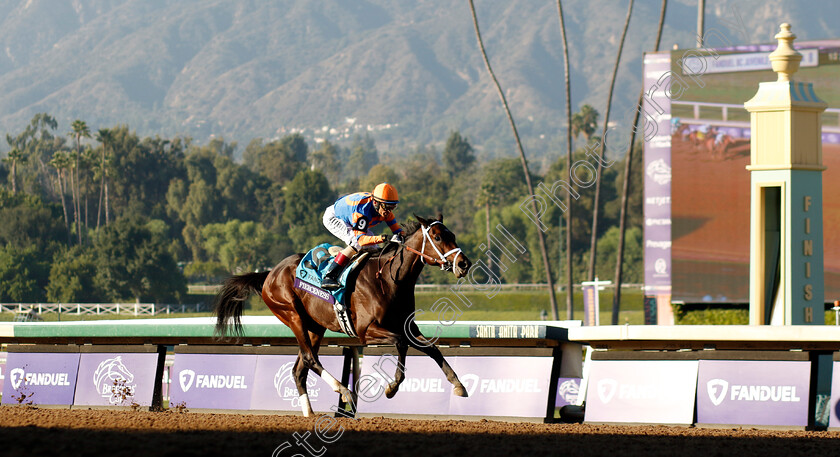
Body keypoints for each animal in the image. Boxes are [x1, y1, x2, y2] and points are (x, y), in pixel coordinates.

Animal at [213, 216, 470, 416]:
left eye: (453, 235)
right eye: (437, 237)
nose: (464, 263)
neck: (389, 279)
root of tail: (269, 274)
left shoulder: (408, 325)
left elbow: (432, 348)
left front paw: (459, 385)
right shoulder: (366, 331)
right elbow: (401, 343)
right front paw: (392, 387)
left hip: (315, 326)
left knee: (299, 368)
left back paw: (309, 412)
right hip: (292, 315)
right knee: (310, 359)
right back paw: (344, 390)